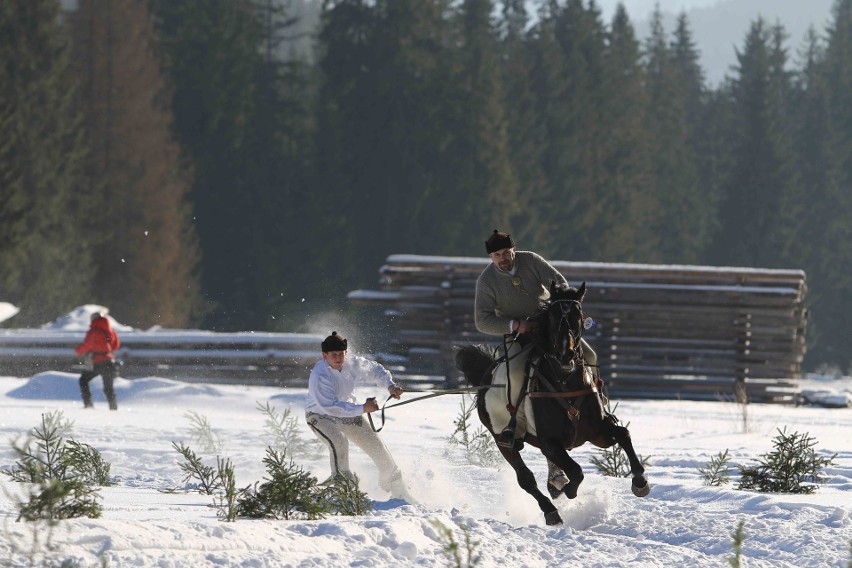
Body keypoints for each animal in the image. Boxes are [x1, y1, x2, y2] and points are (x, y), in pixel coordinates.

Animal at [456, 282, 648, 524]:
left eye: (578, 316)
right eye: (553, 318)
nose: (566, 355)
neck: (565, 383)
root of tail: (485, 377)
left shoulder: (598, 432)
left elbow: (623, 434)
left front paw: (640, 482)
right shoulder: (550, 442)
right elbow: (576, 471)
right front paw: (569, 491)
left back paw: (556, 483)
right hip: (502, 440)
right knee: (526, 479)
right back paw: (551, 509)